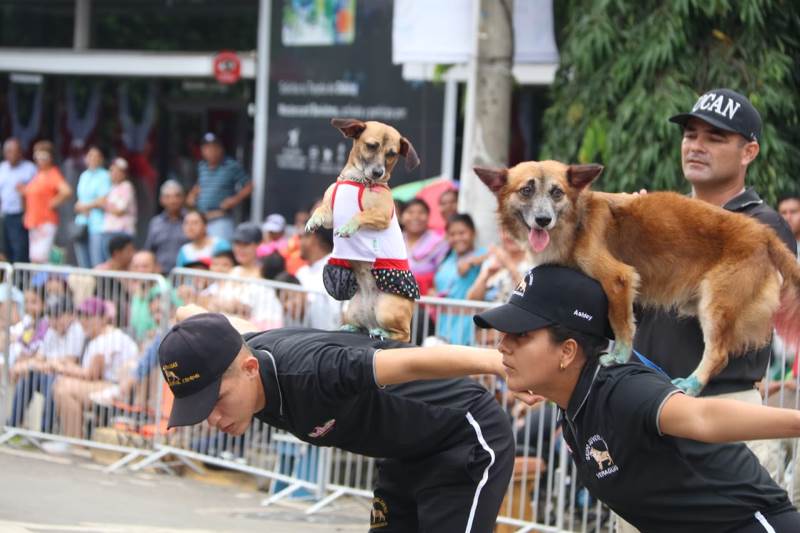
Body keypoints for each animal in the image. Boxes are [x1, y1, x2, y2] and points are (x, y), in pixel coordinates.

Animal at [305, 118, 420, 341]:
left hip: (387, 311)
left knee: (403, 334)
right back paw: (351, 328)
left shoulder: (381, 215)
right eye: (371, 146)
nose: (378, 172)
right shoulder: (330, 214)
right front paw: (313, 221)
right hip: (352, 310)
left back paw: (382, 332)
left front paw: (348, 227)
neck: (358, 180)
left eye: (392, 154)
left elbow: (360, 215)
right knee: (362, 326)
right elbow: (321, 209)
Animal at [476, 160, 800, 395]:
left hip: (716, 303)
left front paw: (618, 356)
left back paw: (693, 384)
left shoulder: (619, 278)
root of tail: (764, 234)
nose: (543, 220)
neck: (577, 221)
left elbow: (620, 323)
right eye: (526, 190)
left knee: (719, 353)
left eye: (557, 192)